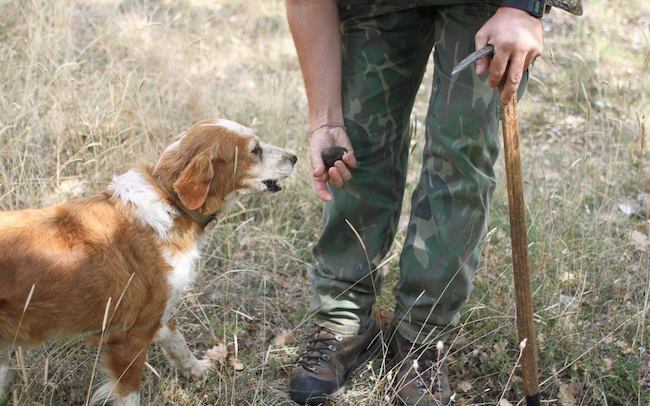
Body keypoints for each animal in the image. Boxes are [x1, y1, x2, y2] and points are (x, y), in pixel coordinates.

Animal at [0, 119, 296, 404]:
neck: (172, 202)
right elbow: (131, 393)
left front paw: (197, 369)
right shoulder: (130, 337)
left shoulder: (157, 314)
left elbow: (177, 342)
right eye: (255, 150)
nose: (294, 157)